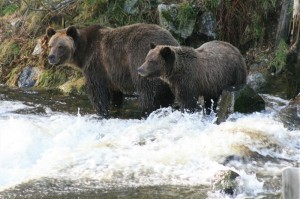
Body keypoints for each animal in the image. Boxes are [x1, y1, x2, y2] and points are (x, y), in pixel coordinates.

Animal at [45, 23, 179, 116]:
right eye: (50, 45)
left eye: (60, 46)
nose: (51, 57)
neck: (83, 53)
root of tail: (171, 41)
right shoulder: (111, 74)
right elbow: (115, 93)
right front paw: (115, 107)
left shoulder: (96, 64)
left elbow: (97, 91)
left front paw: (100, 112)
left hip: (143, 61)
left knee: (148, 92)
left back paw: (147, 110)